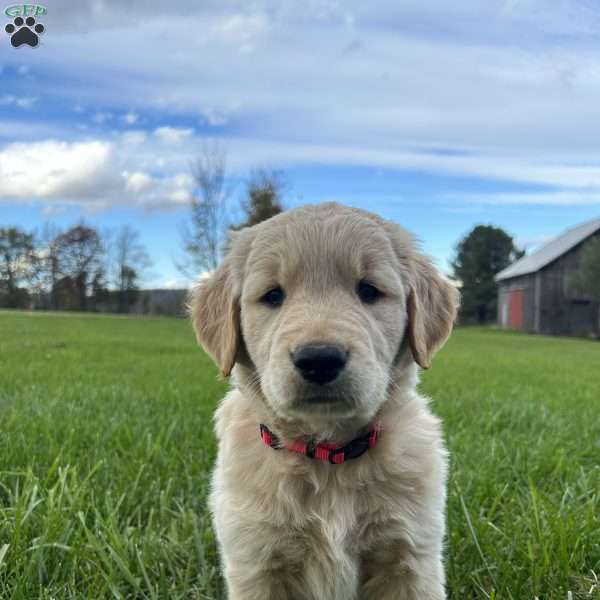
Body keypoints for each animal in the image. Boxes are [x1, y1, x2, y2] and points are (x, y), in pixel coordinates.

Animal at [190, 203, 458, 600]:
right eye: (273, 295)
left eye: (368, 290)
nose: (319, 359)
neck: (328, 456)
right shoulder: (257, 561)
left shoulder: (408, 557)